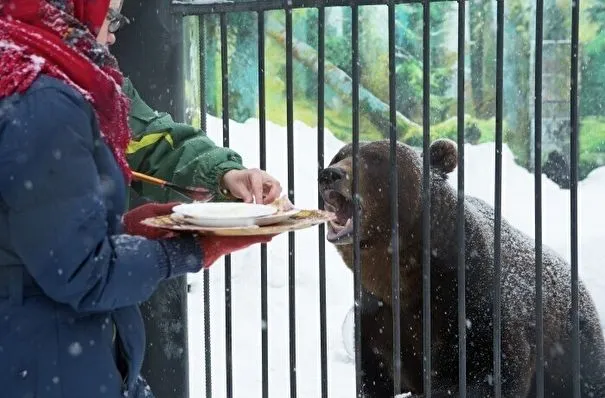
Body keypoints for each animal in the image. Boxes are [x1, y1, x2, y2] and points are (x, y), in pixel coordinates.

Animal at [318, 140, 600, 398]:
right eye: (339, 155)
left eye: (375, 158)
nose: (330, 174)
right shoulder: (376, 316)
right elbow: (376, 375)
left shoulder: (473, 301)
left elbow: (491, 369)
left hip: (574, 346)